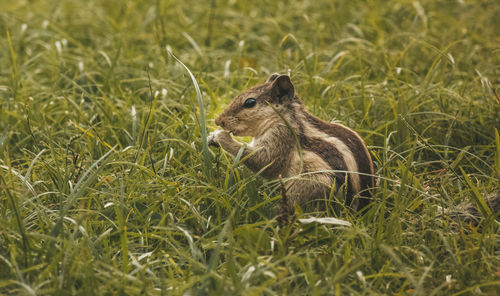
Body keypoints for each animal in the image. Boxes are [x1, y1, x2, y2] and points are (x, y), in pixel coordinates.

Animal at [207, 74, 376, 213]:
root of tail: (360, 211)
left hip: (312, 185)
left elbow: (265, 162)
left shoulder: (281, 137)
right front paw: (211, 137)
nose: (218, 121)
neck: (286, 119)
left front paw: (221, 137)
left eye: (250, 102)